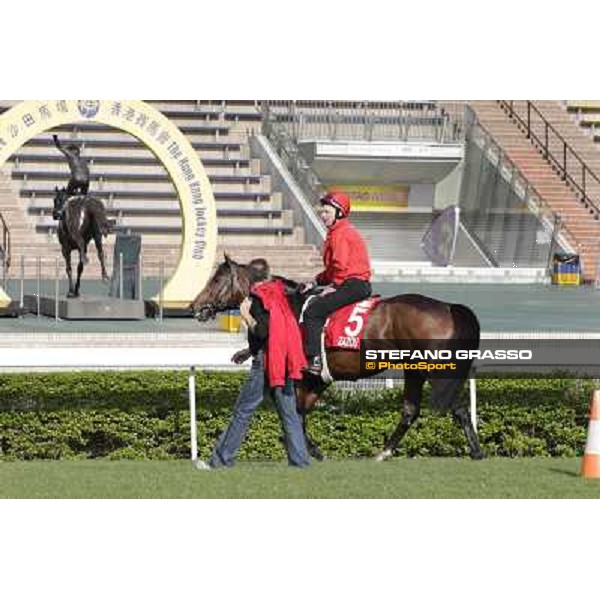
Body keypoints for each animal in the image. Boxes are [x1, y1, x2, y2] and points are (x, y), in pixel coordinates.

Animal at [195, 256, 486, 460]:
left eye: (216, 281)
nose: (196, 307)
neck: (285, 310)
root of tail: (449, 307)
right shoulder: (316, 380)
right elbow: (299, 412)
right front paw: (310, 450)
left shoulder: (298, 375)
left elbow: (290, 411)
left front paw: (310, 450)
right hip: (414, 369)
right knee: (410, 410)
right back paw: (383, 452)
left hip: (436, 370)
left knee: (457, 407)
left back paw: (476, 451)